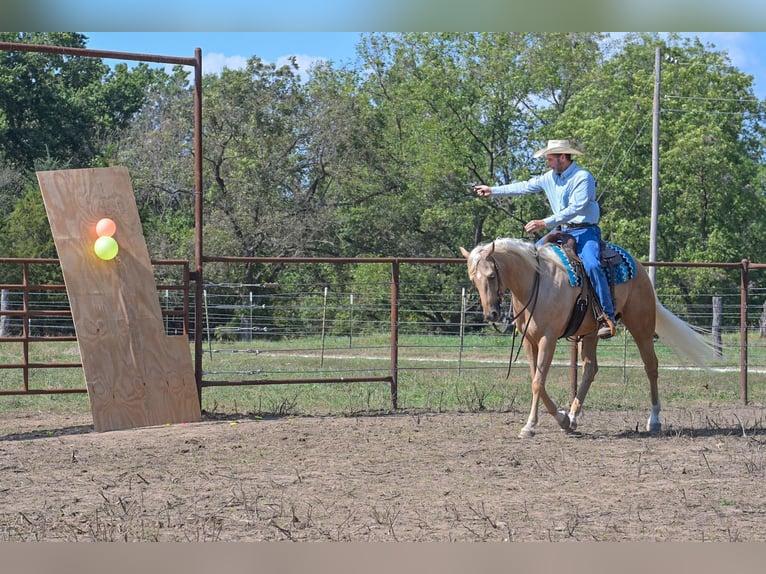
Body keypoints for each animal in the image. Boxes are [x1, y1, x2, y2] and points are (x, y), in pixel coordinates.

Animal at [459, 238, 716, 438]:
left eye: (491, 275)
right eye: (473, 279)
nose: (491, 314)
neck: (536, 283)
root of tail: (640, 267)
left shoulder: (547, 339)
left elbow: (537, 382)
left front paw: (530, 426)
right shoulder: (529, 341)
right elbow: (537, 380)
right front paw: (563, 419)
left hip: (641, 326)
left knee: (651, 366)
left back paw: (654, 420)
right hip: (591, 333)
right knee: (591, 368)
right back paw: (573, 417)